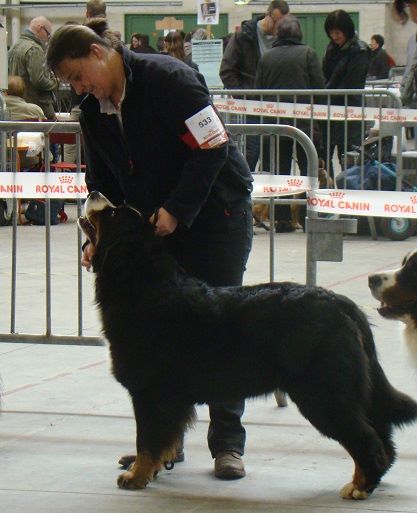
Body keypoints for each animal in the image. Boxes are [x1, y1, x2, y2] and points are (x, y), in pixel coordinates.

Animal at [78, 192, 416, 500]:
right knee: (381, 434)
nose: (94, 192)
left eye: (112, 214)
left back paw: (360, 486)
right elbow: (165, 439)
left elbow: (147, 439)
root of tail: (342, 303)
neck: (142, 284)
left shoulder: (150, 392)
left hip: (324, 394)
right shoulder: (169, 399)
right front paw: (156, 466)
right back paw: (372, 480)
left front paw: (137, 475)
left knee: (366, 438)